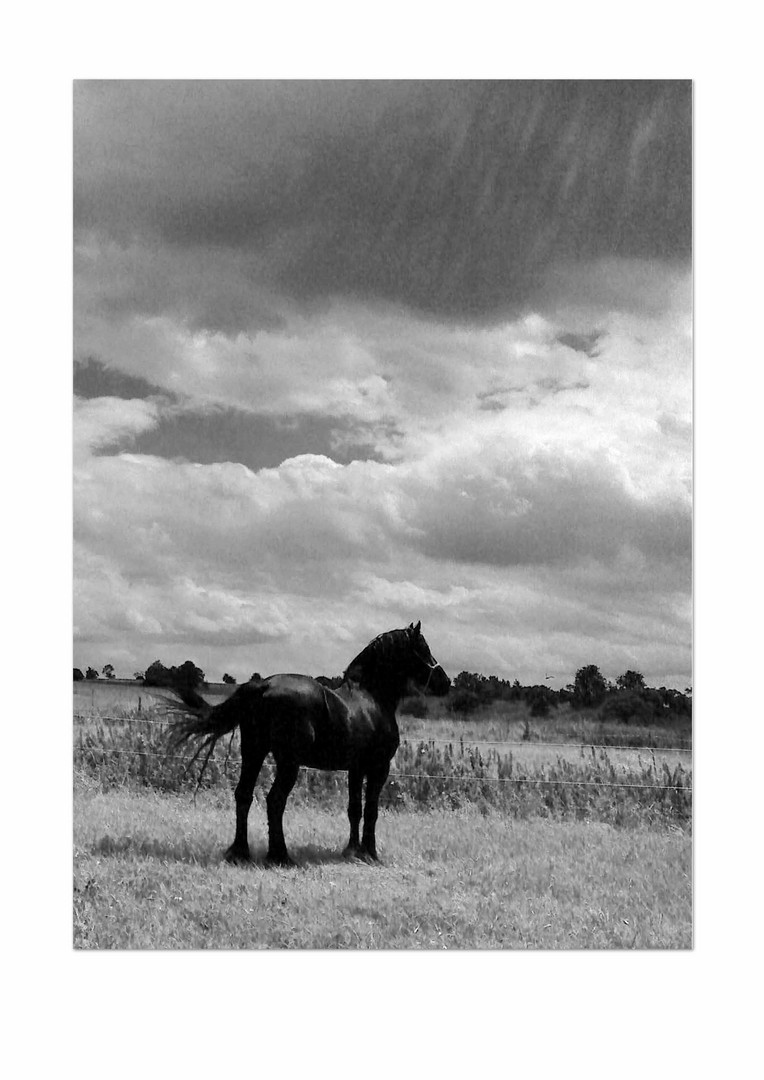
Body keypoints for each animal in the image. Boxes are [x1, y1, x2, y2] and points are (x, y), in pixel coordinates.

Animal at [167, 622, 451, 864]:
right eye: (423, 648)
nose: (445, 682)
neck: (372, 698)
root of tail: (263, 686)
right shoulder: (379, 767)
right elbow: (371, 810)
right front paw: (370, 853)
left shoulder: (356, 769)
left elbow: (354, 809)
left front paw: (351, 850)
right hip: (287, 763)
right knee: (275, 800)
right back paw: (280, 856)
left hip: (253, 752)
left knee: (243, 795)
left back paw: (240, 853)